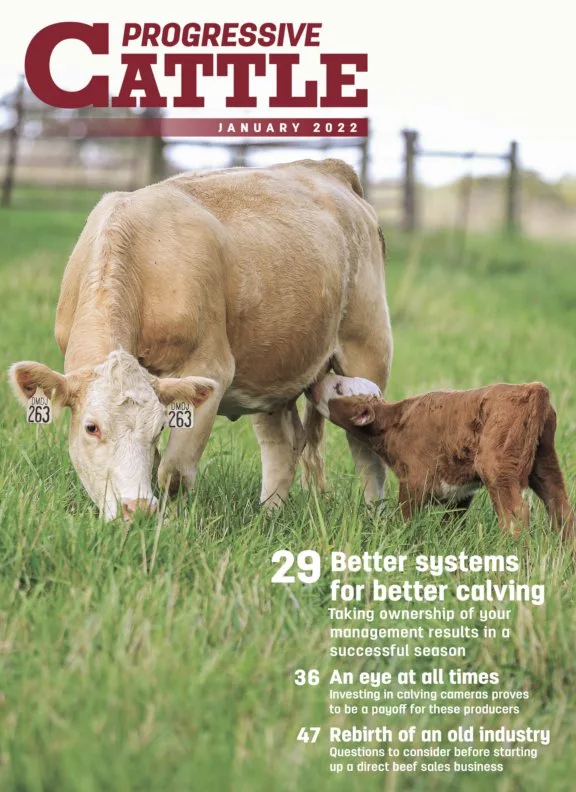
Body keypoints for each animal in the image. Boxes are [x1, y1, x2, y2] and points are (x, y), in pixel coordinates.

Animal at [9, 160, 392, 520]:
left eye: (158, 427)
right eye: (91, 427)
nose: (137, 508)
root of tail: (327, 168)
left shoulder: (210, 371)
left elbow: (173, 474)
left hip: (367, 352)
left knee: (366, 444)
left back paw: (375, 515)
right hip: (271, 370)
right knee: (284, 443)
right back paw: (268, 516)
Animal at [311, 373, 575, 539]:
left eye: (339, 388)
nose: (315, 382)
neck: (394, 424)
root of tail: (532, 388)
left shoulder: (414, 481)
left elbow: (407, 518)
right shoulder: (460, 492)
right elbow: (451, 525)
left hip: (499, 468)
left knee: (515, 516)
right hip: (545, 463)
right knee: (561, 510)